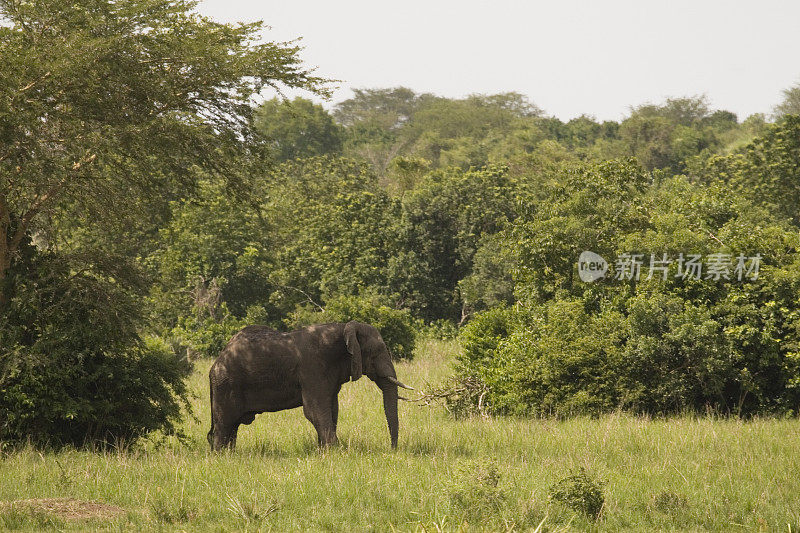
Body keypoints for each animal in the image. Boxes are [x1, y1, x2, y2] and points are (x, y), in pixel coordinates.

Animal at [206, 320, 412, 448]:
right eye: (377, 351)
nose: (392, 449)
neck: (343, 328)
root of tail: (215, 364)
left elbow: (332, 409)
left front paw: (323, 451)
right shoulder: (313, 368)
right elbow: (315, 411)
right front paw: (337, 451)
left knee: (232, 427)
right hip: (226, 385)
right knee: (225, 424)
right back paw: (221, 457)